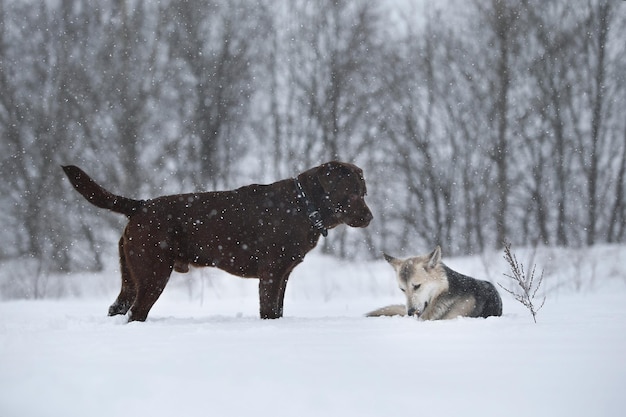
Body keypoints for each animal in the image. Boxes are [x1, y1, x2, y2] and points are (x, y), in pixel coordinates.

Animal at [62, 161, 370, 320]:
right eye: (352, 193)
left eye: (364, 192)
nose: (370, 217)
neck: (304, 206)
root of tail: (140, 205)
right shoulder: (271, 273)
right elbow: (269, 309)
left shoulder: (283, 274)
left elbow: (278, 310)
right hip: (154, 273)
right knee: (136, 312)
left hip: (131, 276)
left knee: (118, 308)